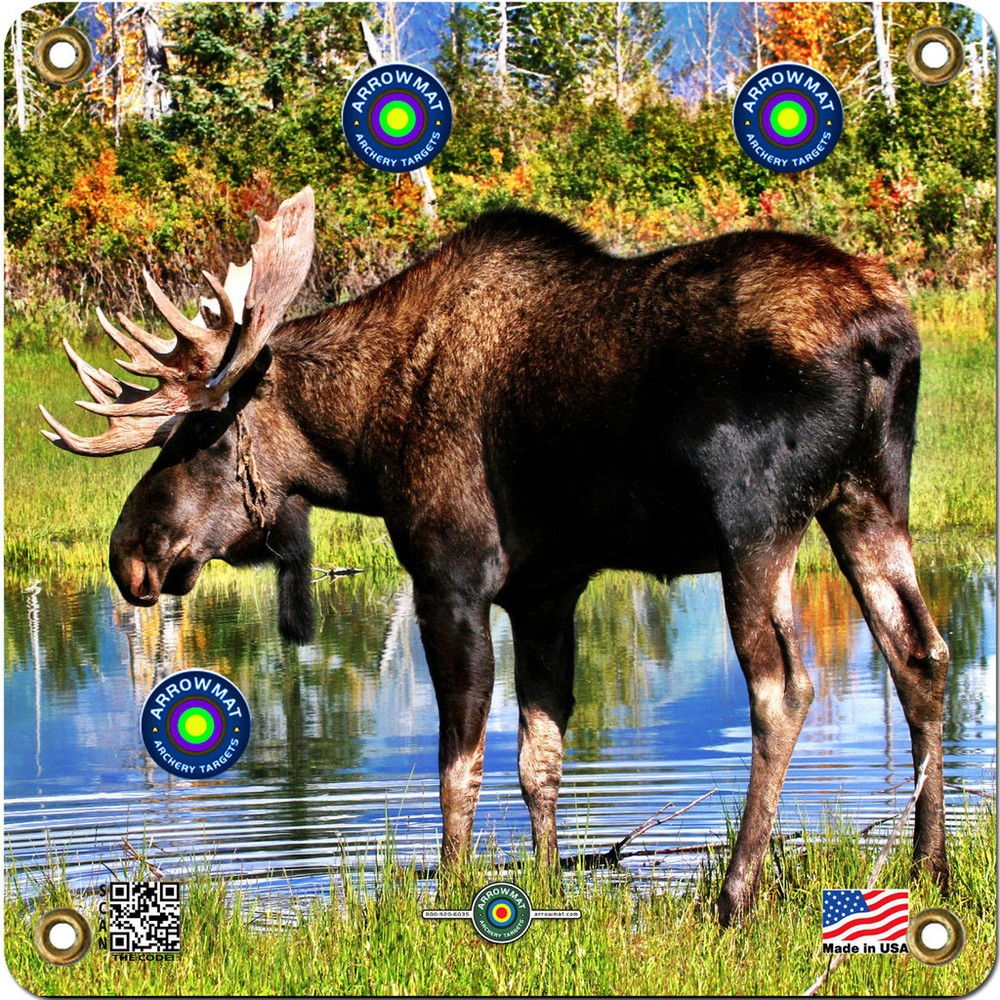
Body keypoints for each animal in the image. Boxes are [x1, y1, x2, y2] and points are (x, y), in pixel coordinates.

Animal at [40, 186, 949, 925]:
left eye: (201, 435)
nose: (129, 554)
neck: (365, 443)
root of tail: (883, 335)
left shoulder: (450, 578)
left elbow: (460, 761)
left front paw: (447, 891)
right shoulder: (546, 591)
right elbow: (539, 756)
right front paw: (544, 885)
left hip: (756, 523)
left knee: (784, 687)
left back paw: (733, 899)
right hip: (869, 497)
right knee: (921, 654)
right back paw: (928, 869)